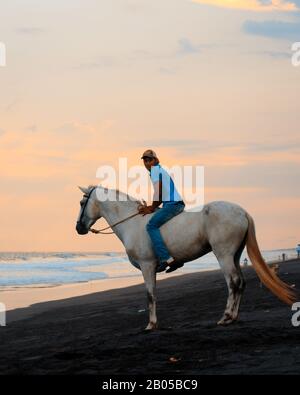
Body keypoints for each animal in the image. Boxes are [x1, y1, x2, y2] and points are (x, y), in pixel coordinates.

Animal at [76, 186, 296, 332]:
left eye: (81, 202)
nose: (79, 228)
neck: (133, 223)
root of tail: (242, 212)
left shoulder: (147, 266)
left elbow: (149, 295)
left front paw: (151, 324)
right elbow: (153, 294)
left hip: (223, 255)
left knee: (233, 282)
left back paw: (226, 317)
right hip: (235, 255)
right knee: (240, 283)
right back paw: (233, 317)